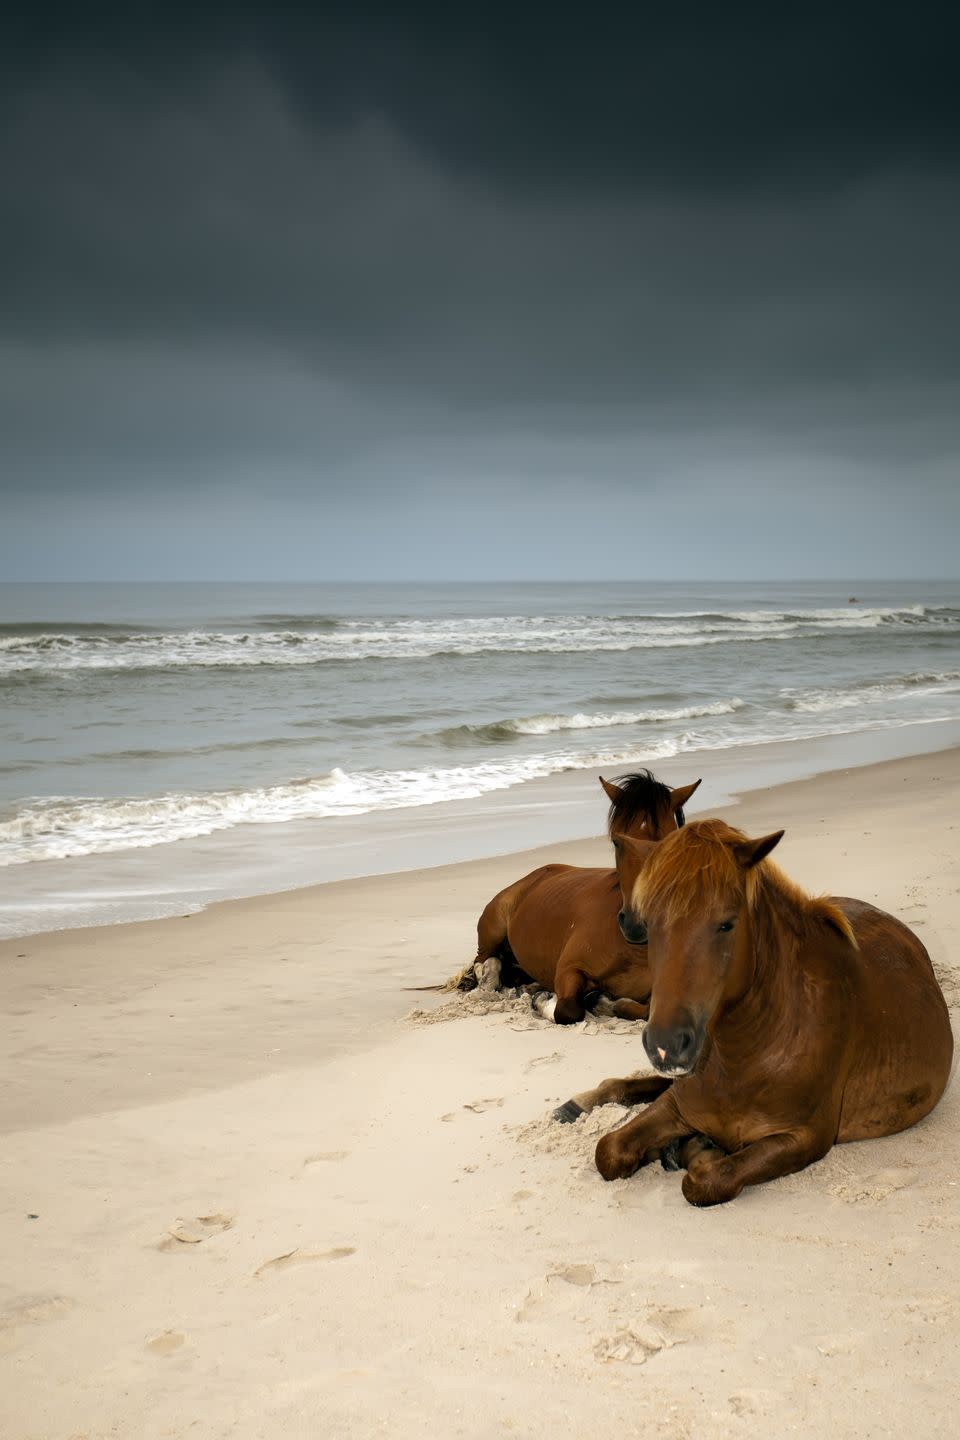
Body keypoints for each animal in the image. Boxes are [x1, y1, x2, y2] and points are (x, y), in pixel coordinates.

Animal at [466, 766, 699, 1025]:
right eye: (617, 842)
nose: (635, 925)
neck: (633, 952)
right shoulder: (569, 969)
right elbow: (568, 1010)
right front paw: (544, 999)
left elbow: (643, 1010)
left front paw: (602, 1001)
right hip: (492, 932)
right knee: (485, 962)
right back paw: (492, 979)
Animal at [558, 823, 955, 1203]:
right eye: (648, 926)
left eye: (727, 923)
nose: (665, 1045)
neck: (749, 1053)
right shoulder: (677, 1106)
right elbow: (609, 1151)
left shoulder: (804, 1138)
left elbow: (706, 1181)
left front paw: (695, 1150)